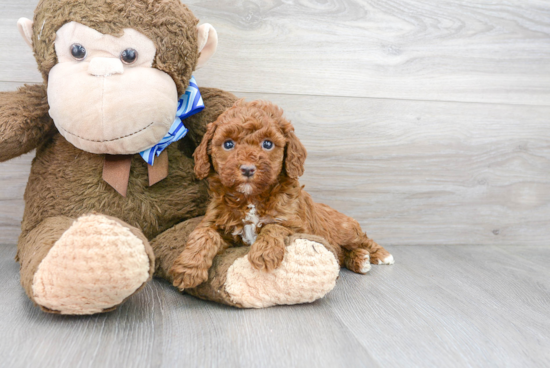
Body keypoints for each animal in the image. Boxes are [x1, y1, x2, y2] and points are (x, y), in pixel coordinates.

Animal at [170, 99, 394, 288]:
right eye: (228, 144)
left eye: (268, 144)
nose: (248, 169)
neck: (251, 198)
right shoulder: (217, 221)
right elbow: (203, 235)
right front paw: (188, 269)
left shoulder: (295, 223)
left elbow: (274, 226)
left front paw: (264, 253)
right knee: (341, 253)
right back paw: (359, 259)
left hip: (344, 228)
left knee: (361, 239)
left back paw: (381, 255)